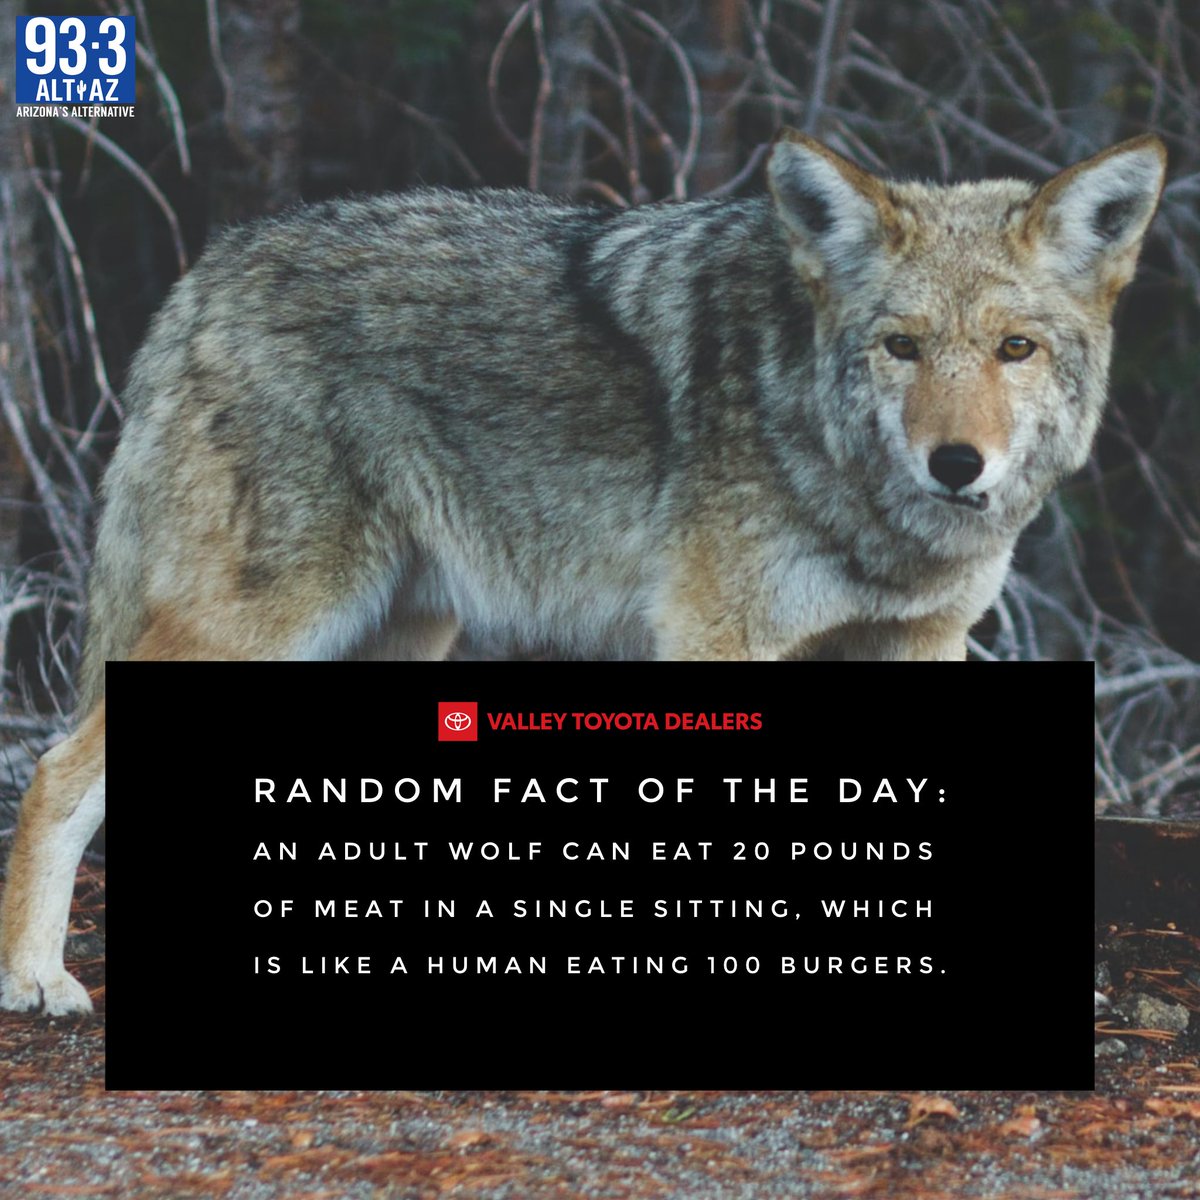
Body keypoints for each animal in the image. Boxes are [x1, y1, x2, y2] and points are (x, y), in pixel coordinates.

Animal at [0, 131, 1166, 1014]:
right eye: (903, 347)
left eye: (1015, 349)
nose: (956, 464)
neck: (861, 505)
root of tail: (208, 272)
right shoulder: (715, 640)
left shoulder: (918, 641)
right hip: (266, 629)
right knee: (55, 770)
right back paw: (36, 980)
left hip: (383, 637)